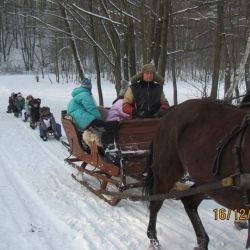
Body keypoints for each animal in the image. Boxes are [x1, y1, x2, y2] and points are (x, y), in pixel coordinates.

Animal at [144, 98, 250, 249]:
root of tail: (172, 109)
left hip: (210, 184)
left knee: (189, 201)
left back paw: (202, 242)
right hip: (167, 173)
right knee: (156, 202)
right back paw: (154, 239)